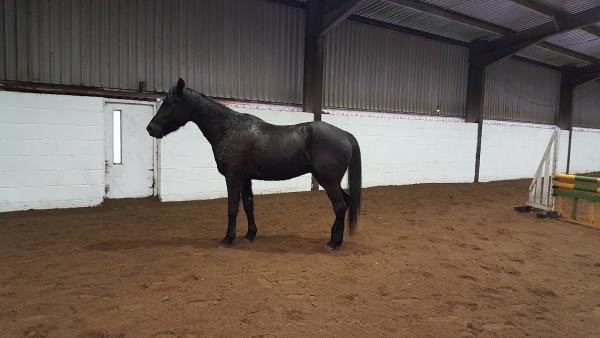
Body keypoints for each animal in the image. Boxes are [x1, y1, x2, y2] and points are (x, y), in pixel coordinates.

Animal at [146, 78, 360, 248]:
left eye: (170, 103)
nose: (150, 128)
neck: (229, 129)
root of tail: (344, 134)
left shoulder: (233, 176)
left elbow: (232, 208)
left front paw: (228, 239)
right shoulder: (245, 178)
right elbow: (249, 205)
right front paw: (250, 234)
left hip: (328, 181)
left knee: (340, 205)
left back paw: (333, 243)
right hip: (332, 181)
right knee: (346, 202)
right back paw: (337, 239)